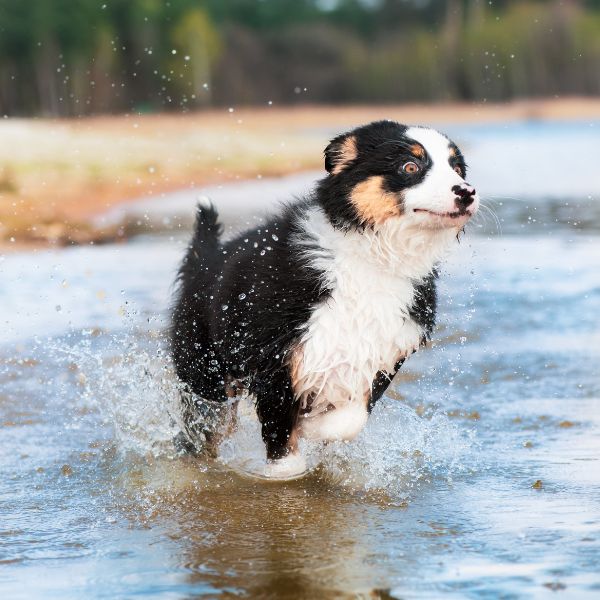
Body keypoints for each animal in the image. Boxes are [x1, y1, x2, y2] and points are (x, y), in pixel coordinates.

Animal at [171, 120, 480, 478]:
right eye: (410, 167)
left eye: (457, 169)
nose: (466, 192)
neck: (372, 260)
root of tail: (205, 259)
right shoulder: (276, 355)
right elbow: (281, 437)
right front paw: (285, 467)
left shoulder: (384, 353)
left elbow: (349, 419)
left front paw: (313, 425)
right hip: (205, 374)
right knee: (203, 428)